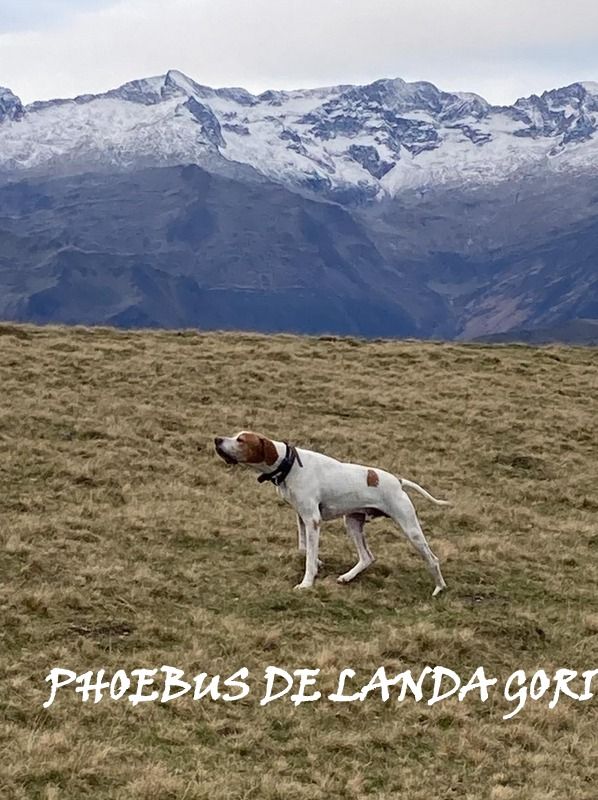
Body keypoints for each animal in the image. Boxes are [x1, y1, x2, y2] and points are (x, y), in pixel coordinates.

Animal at [214, 432, 450, 592]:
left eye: (241, 440)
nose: (217, 439)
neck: (288, 464)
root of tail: (398, 481)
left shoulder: (313, 520)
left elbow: (308, 557)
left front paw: (307, 583)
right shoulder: (302, 517)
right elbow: (304, 549)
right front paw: (318, 562)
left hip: (411, 529)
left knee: (433, 559)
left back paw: (439, 587)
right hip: (352, 523)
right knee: (367, 557)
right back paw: (347, 577)